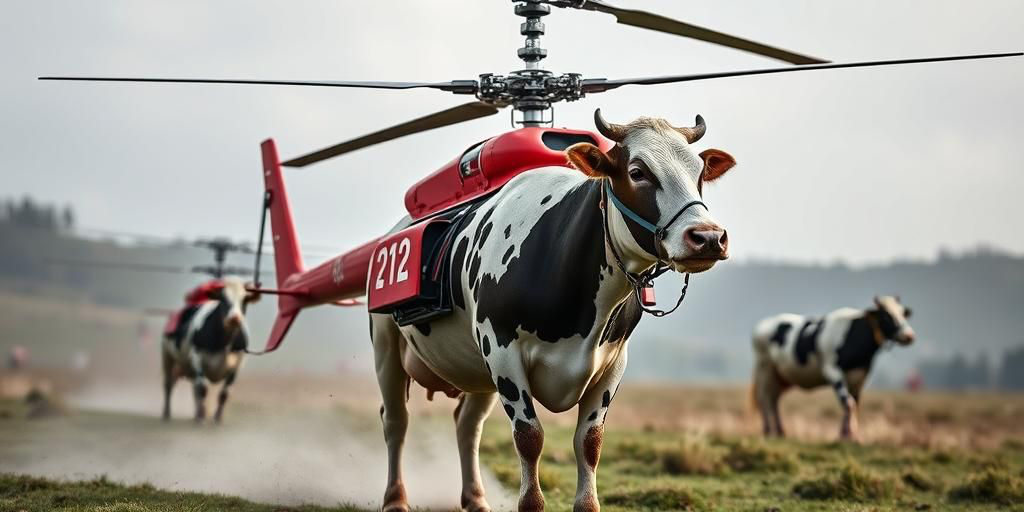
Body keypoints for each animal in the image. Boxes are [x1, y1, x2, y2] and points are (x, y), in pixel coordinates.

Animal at [161, 277, 258, 423]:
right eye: (223, 298)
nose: (234, 318)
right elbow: (203, 389)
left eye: (245, 299)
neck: (223, 343)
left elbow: (224, 393)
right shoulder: (197, 357)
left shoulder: (237, 364)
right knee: (169, 385)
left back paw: (195, 414)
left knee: (193, 389)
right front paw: (202, 417)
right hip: (167, 356)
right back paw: (167, 414)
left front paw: (217, 418)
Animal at [370, 110, 737, 512]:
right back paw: (395, 499)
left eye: (700, 172)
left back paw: (476, 498)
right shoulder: (503, 352)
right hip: (386, 348)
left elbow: (590, 442)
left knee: (467, 424)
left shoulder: (612, 364)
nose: (707, 237)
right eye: (638, 171)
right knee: (396, 421)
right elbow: (529, 437)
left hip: (475, 368)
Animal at [751, 295, 916, 441]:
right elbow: (848, 403)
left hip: (782, 376)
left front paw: (849, 436)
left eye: (903, 314)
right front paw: (848, 435)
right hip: (764, 368)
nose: (909, 335)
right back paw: (767, 431)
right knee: (764, 398)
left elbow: (853, 403)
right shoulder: (832, 370)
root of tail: (763, 323)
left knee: (774, 399)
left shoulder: (860, 376)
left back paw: (780, 432)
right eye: (886, 316)